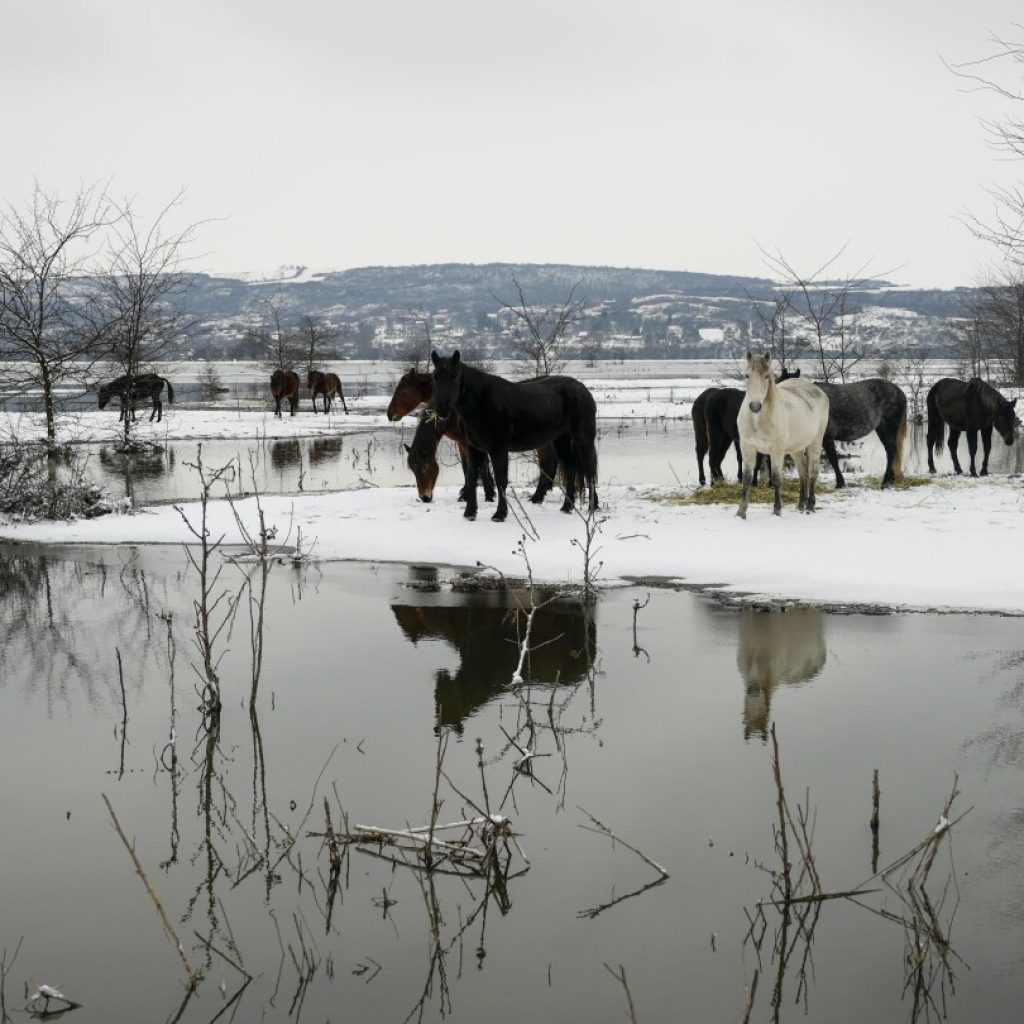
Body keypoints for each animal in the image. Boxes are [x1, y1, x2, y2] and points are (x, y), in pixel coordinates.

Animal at [385, 372, 561, 507]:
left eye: (401, 391)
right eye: (413, 470)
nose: (424, 497)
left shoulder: (471, 442)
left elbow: (478, 466)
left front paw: (486, 495)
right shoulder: (462, 442)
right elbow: (468, 467)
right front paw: (471, 493)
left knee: (547, 464)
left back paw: (537, 497)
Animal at [425, 354, 598, 528]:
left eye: (454, 377)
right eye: (434, 377)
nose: (441, 410)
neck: (482, 402)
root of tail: (582, 389)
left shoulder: (499, 449)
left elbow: (501, 480)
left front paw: (499, 515)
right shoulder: (475, 448)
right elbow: (472, 477)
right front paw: (470, 513)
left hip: (583, 440)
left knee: (589, 470)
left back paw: (592, 507)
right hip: (561, 441)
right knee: (571, 468)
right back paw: (567, 507)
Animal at [737, 354, 831, 520]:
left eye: (766, 376)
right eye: (747, 375)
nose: (755, 406)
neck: (758, 419)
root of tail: (820, 392)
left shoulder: (777, 450)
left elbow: (776, 479)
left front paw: (777, 510)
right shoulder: (747, 448)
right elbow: (747, 478)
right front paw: (741, 512)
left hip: (815, 442)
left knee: (813, 471)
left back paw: (810, 506)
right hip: (796, 448)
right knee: (802, 471)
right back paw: (801, 504)